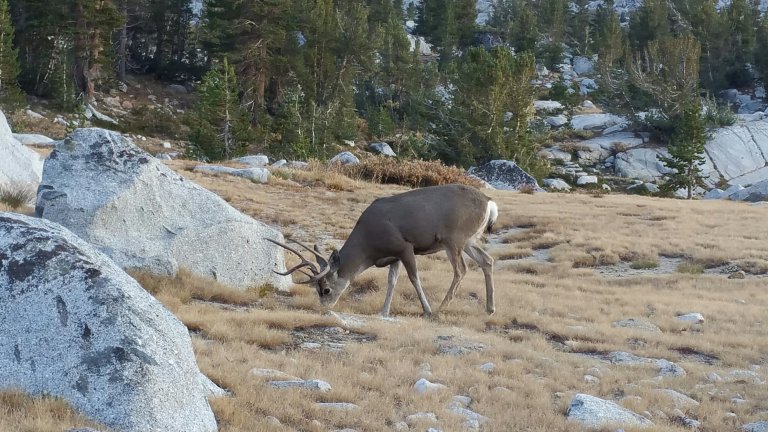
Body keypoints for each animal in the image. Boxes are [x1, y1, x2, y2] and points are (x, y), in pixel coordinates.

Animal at [267, 184, 498, 318]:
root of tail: (490, 203)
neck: (370, 247)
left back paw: (440, 310)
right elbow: (392, 281)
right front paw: (384, 312)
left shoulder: (405, 246)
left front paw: (426, 309)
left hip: (454, 238)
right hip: (468, 240)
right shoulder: (393, 255)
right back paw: (490, 308)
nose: (323, 308)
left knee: (461, 270)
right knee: (487, 260)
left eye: (326, 290)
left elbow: (414, 278)